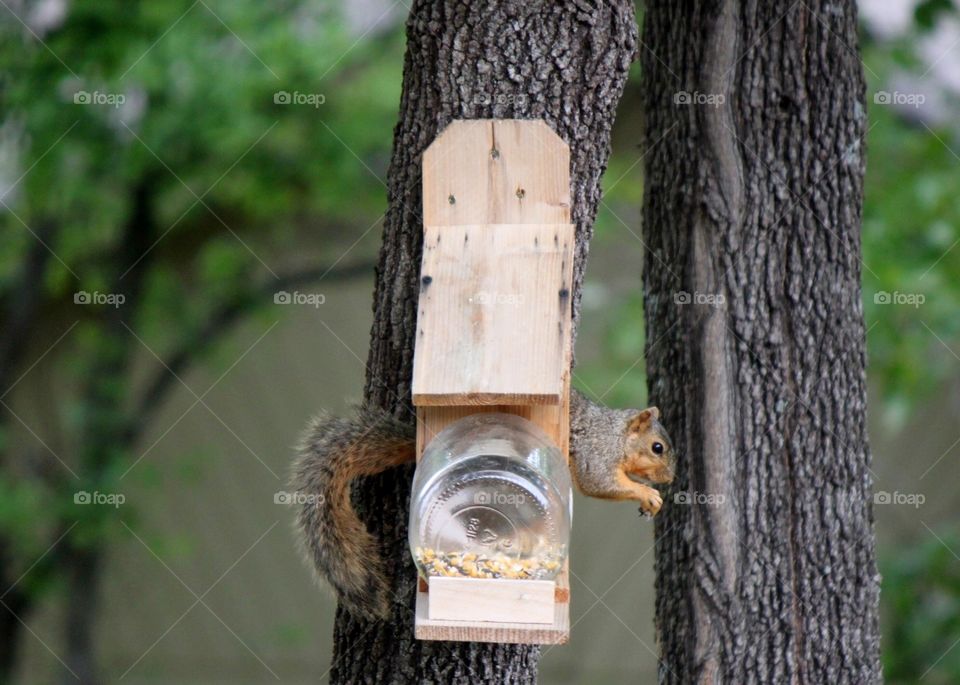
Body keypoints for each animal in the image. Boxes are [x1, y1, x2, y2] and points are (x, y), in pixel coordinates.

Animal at [288, 388, 672, 624]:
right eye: (658, 448)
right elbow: (600, 483)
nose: (670, 478)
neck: (616, 437)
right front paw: (646, 495)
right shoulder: (597, 454)